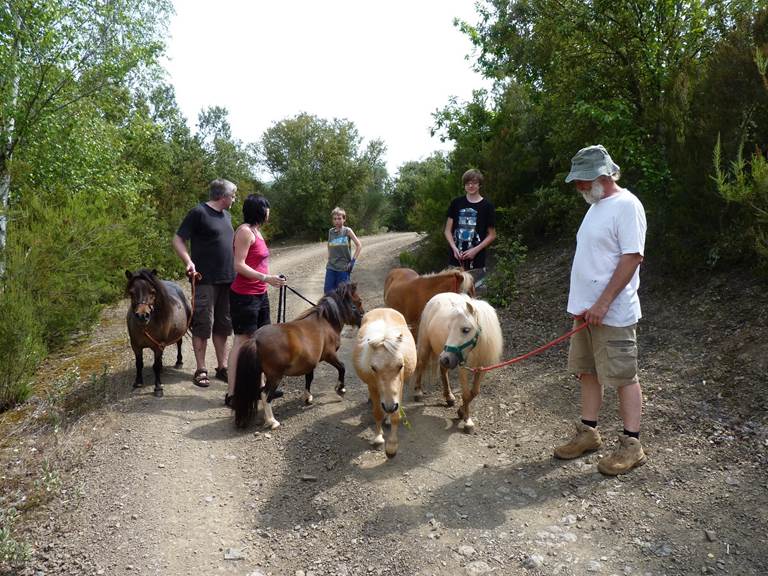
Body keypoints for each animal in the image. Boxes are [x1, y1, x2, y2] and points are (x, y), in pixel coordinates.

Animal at [125, 268, 191, 396]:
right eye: (131, 293)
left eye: (152, 292)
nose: (142, 316)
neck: (145, 327)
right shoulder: (136, 346)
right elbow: (139, 364)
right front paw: (138, 382)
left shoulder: (157, 346)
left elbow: (155, 367)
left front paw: (158, 387)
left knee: (179, 344)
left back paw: (179, 362)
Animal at [232, 282, 364, 430]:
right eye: (358, 302)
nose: (363, 318)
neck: (326, 322)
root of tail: (255, 339)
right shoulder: (329, 355)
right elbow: (342, 367)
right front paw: (340, 388)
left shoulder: (311, 362)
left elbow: (309, 378)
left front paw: (308, 397)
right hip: (275, 376)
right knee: (265, 395)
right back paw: (272, 421)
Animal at [352, 310, 416, 460]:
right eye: (373, 368)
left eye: (400, 366)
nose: (390, 406)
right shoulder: (372, 386)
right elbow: (377, 412)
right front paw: (378, 438)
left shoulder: (399, 387)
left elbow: (395, 416)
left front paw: (391, 446)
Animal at [414, 292, 504, 432]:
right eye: (449, 327)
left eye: (466, 329)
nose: (445, 358)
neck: (476, 348)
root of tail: (438, 296)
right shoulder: (463, 368)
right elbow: (466, 394)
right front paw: (468, 421)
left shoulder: (482, 368)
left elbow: (474, 392)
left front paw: (461, 412)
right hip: (428, 347)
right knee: (421, 364)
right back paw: (418, 391)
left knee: (443, 371)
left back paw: (449, 397)